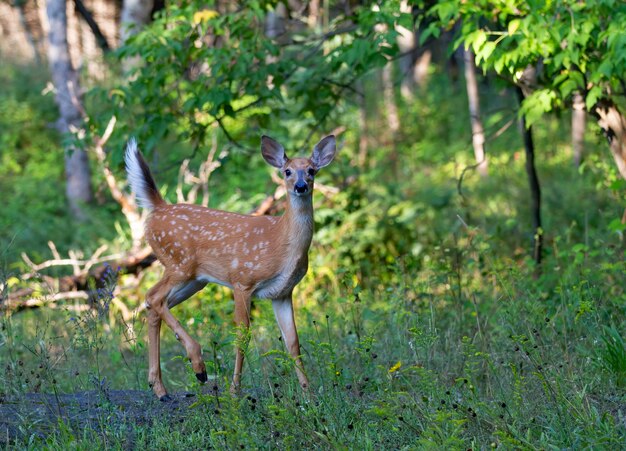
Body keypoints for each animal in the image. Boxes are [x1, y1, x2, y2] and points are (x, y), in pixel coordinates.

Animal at [123, 134, 334, 402]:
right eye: (287, 171)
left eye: (311, 170)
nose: (300, 186)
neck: (281, 242)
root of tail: (159, 207)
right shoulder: (242, 279)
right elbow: (243, 336)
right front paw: (235, 390)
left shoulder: (283, 292)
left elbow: (293, 341)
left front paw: (309, 393)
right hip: (179, 263)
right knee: (153, 296)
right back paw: (198, 367)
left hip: (194, 279)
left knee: (154, 304)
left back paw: (159, 388)